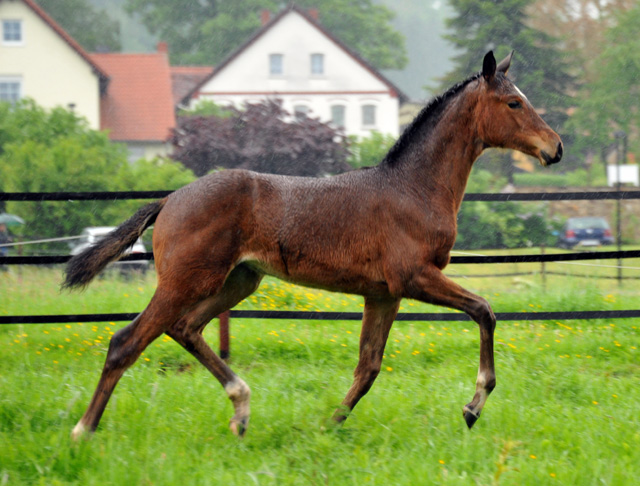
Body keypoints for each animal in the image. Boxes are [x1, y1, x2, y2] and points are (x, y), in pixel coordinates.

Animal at [65, 50, 564, 440]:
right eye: (514, 102)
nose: (555, 147)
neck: (413, 188)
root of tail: (171, 199)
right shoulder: (415, 277)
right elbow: (484, 310)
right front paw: (473, 406)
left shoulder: (383, 294)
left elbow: (369, 366)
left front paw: (328, 426)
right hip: (187, 281)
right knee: (127, 341)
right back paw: (83, 431)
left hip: (238, 281)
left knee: (186, 328)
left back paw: (241, 410)